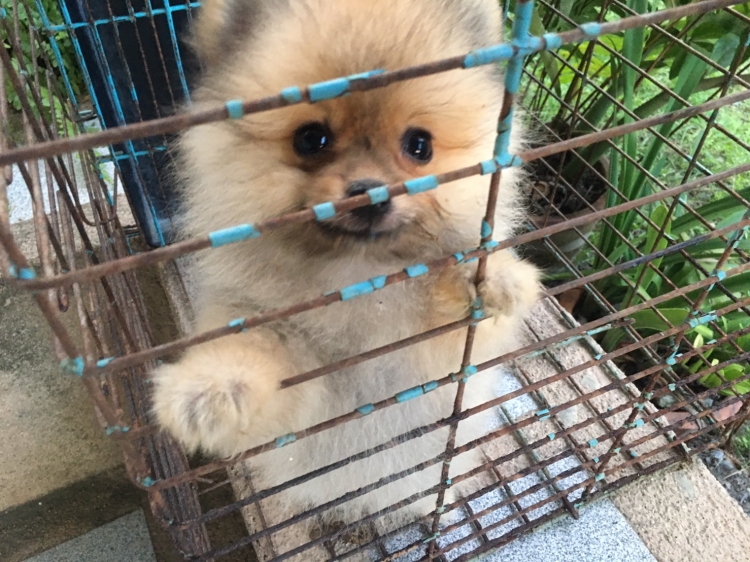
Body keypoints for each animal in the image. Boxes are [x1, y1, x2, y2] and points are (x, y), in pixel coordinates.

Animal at [152, 0, 540, 533]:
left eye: (419, 145)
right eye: (311, 138)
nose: (370, 192)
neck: (358, 276)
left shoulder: (439, 357)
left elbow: (462, 315)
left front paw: (491, 275)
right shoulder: (290, 360)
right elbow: (253, 351)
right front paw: (209, 389)